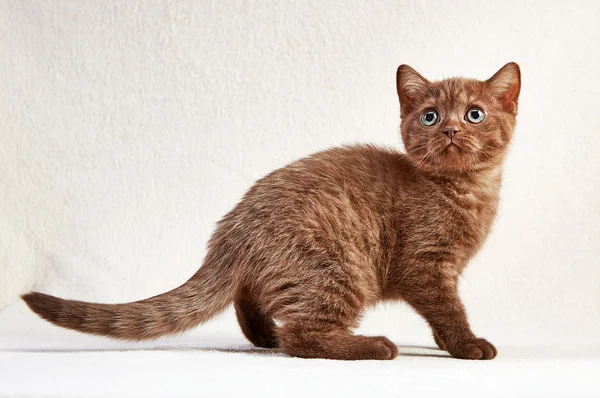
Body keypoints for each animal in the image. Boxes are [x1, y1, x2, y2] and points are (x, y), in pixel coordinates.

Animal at [22, 62, 520, 360]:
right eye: (430, 116)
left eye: (474, 114)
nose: (451, 129)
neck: (466, 189)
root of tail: (231, 229)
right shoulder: (426, 267)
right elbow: (448, 309)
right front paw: (467, 345)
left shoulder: (441, 270)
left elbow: (445, 311)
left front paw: (452, 344)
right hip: (339, 268)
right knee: (300, 336)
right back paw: (371, 345)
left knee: (252, 300)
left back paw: (264, 335)